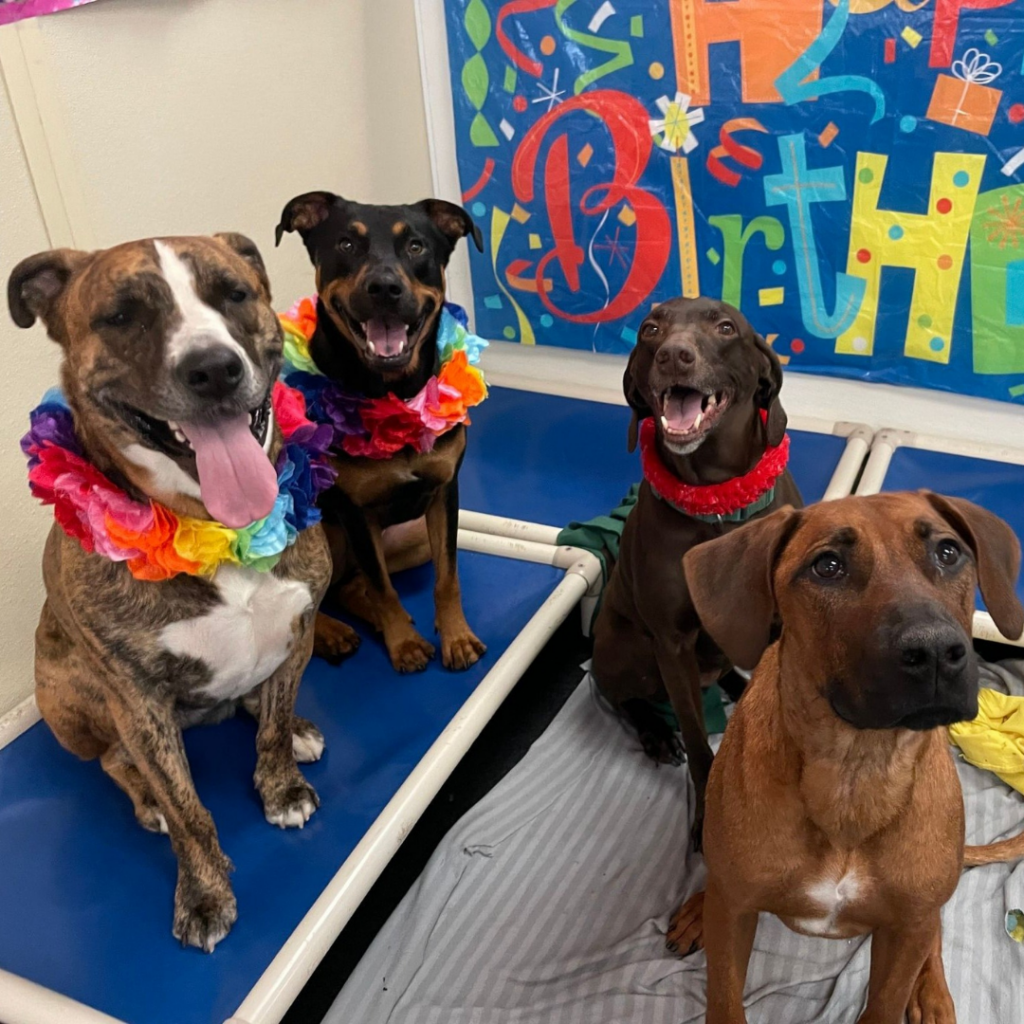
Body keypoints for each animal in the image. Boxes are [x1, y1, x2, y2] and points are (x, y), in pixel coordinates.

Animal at [8, 234, 332, 951]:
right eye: (122, 316)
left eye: (234, 294)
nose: (213, 369)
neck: (216, 527)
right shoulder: (137, 699)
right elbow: (191, 814)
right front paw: (205, 893)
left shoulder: (299, 629)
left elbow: (270, 730)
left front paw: (281, 785)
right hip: (67, 685)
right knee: (113, 762)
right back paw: (147, 800)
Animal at [275, 192, 487, 673]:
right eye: (347, 244)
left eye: (415, 246)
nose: (385, 288)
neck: (393, 391)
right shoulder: (354, 511)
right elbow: (383, 587)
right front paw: (403, 645)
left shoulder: (445, 493)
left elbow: (447, 577)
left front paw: (457, 637)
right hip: (316, 530)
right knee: (321, 595)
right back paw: (333, 633)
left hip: (412, 537)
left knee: (350, 584)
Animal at [592, 296, 801, 847]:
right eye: (650, 329)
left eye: (725, 327)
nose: (674, 355)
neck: (718, 505)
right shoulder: (672, 642)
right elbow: (694, 732)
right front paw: (707, 819)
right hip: (628, 650)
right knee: (618, 693)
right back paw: (654, 731)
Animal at [667, 492, 1024, 1024]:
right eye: (827, 566)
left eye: (947, 552)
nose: (937, 651)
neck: (855, 770)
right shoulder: (734, 915)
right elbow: (725, 999)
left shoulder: (904, 931)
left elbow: (888, 996)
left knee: (935, 931)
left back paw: (933, 993)